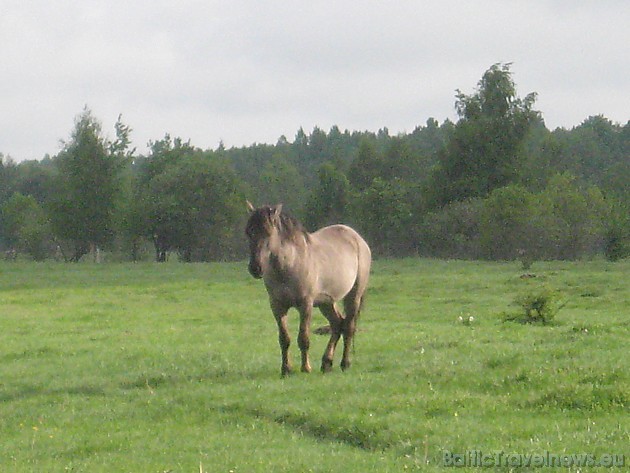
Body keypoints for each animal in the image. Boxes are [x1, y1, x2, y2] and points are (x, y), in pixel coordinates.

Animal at [247, 201, 372, 374]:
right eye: (249, 232)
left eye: (268, 233)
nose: (255, 268)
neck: (289, 264)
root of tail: (357, 238)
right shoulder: (277, 306)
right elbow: (284, 339)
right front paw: (286, 369)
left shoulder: (305, 304)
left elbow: (303, 338)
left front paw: (306, 368)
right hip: (326, 302)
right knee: (337, 324)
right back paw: (327, 363)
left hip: (353, 296)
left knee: (348, 327)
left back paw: (345, 363)